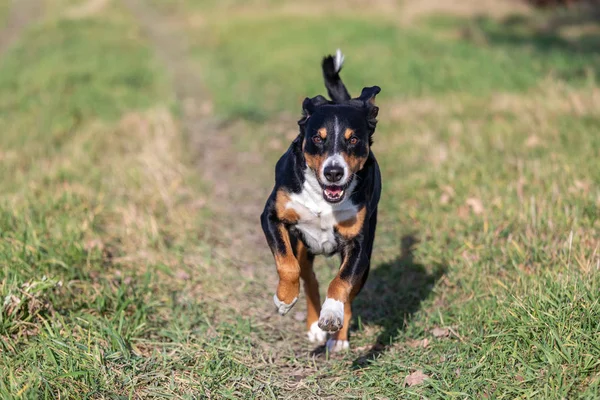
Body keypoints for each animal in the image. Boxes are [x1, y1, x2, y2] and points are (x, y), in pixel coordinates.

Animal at [260, 50, 382, 354]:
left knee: (347, 291)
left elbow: (341, 282)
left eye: (354, 140)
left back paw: (336, 336)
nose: (334, 172)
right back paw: (314, 326)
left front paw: (332, 315)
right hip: (303, 247)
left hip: (366, 259)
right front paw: (284, 300)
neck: (323, 199)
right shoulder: (271, 217)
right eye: (317, 138)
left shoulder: (358, 245)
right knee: (309, 279)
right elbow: (286, 264)